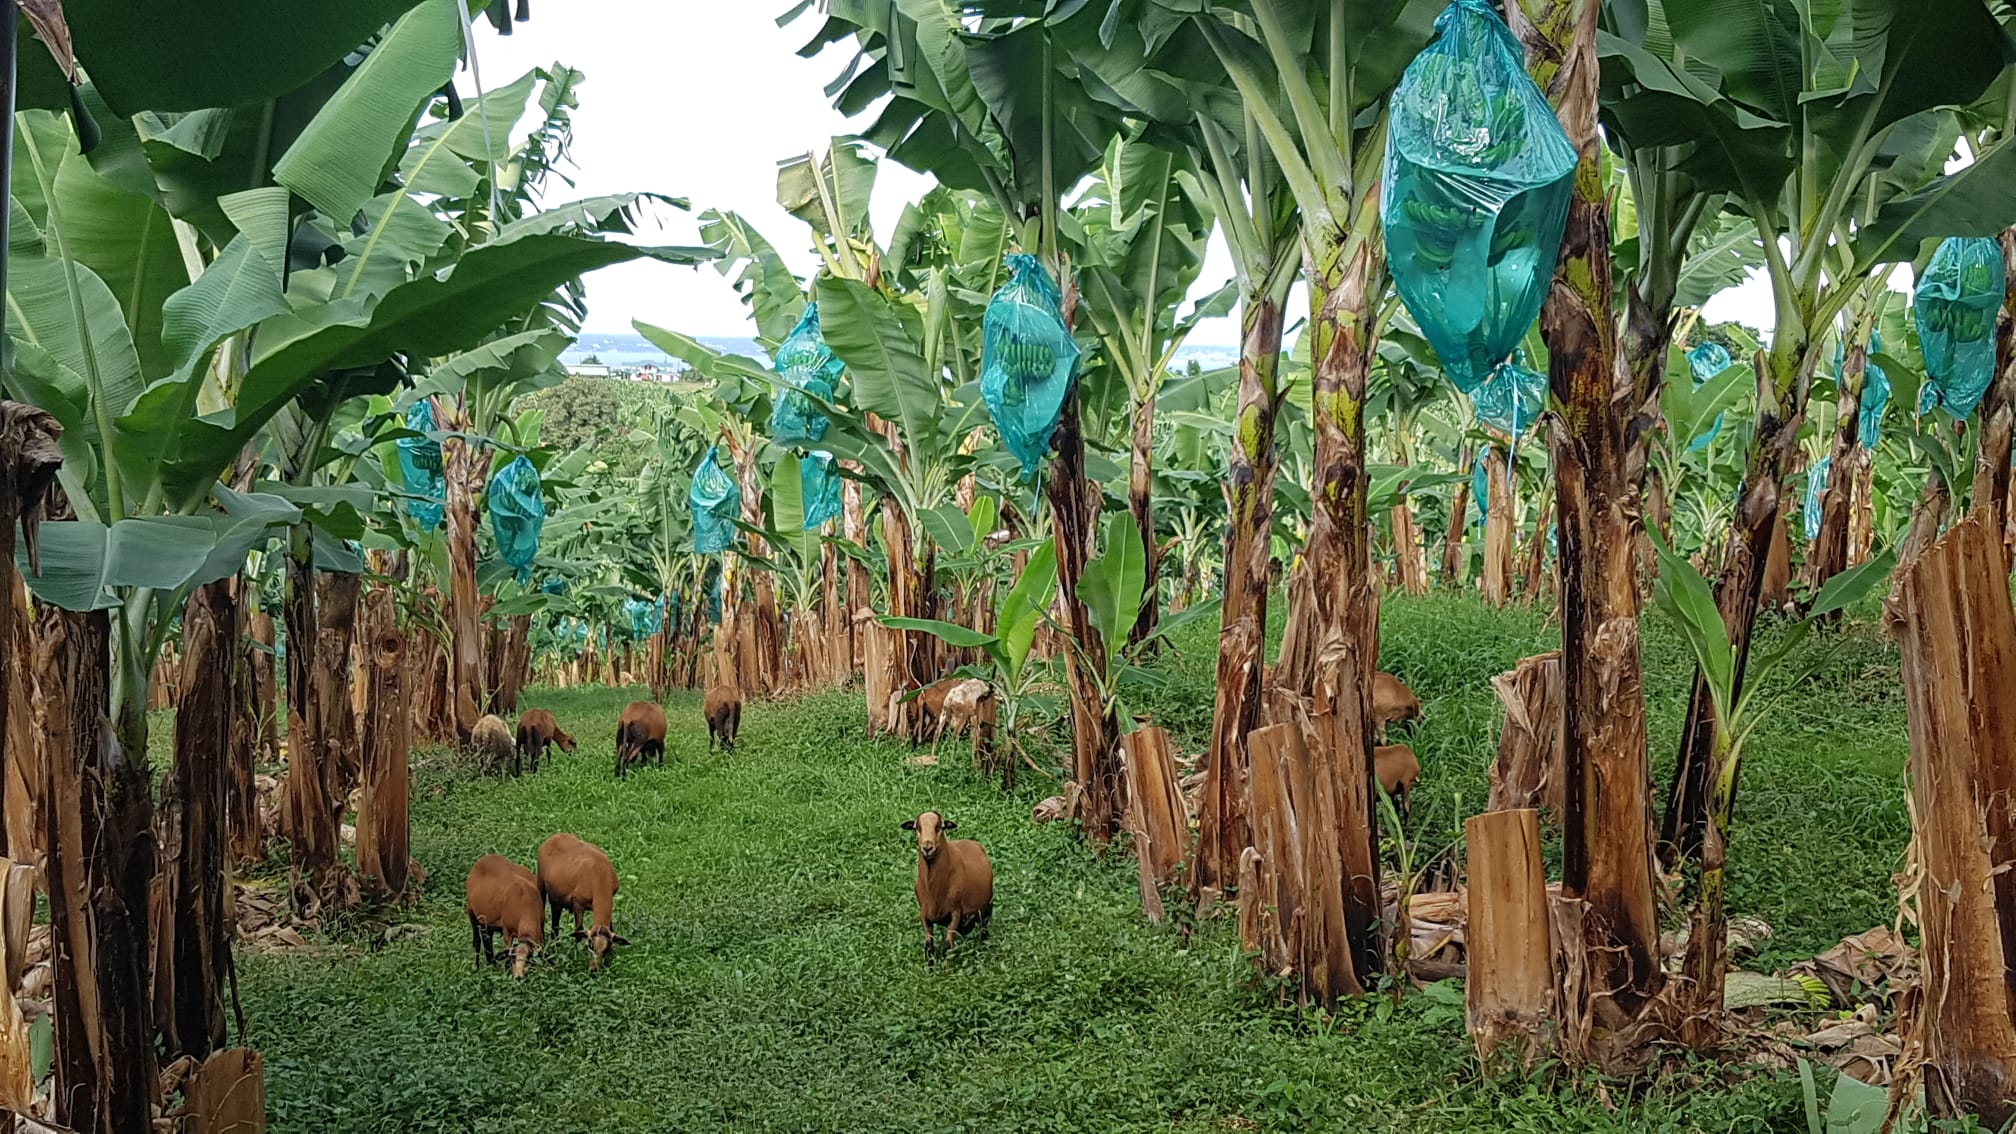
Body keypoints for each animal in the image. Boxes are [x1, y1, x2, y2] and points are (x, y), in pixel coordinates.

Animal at [536, 827, 628, 968]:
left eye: (606, 948)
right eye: (590, 945)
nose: (595, 969)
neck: (600, 878)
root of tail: (555, 837)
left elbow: (611, 928)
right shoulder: (578, 903)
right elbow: (579, 931)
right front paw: (577, 955)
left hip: (556, 898)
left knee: (555, 922)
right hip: (540, 881)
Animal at [899, 807, 991, 956]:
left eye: (940, 827)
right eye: (917, 827)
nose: (927, 848)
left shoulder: (955, 913)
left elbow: (947, 947)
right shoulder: (924, 914)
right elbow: (929, 948)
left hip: (987, 906)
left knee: (984, 927)